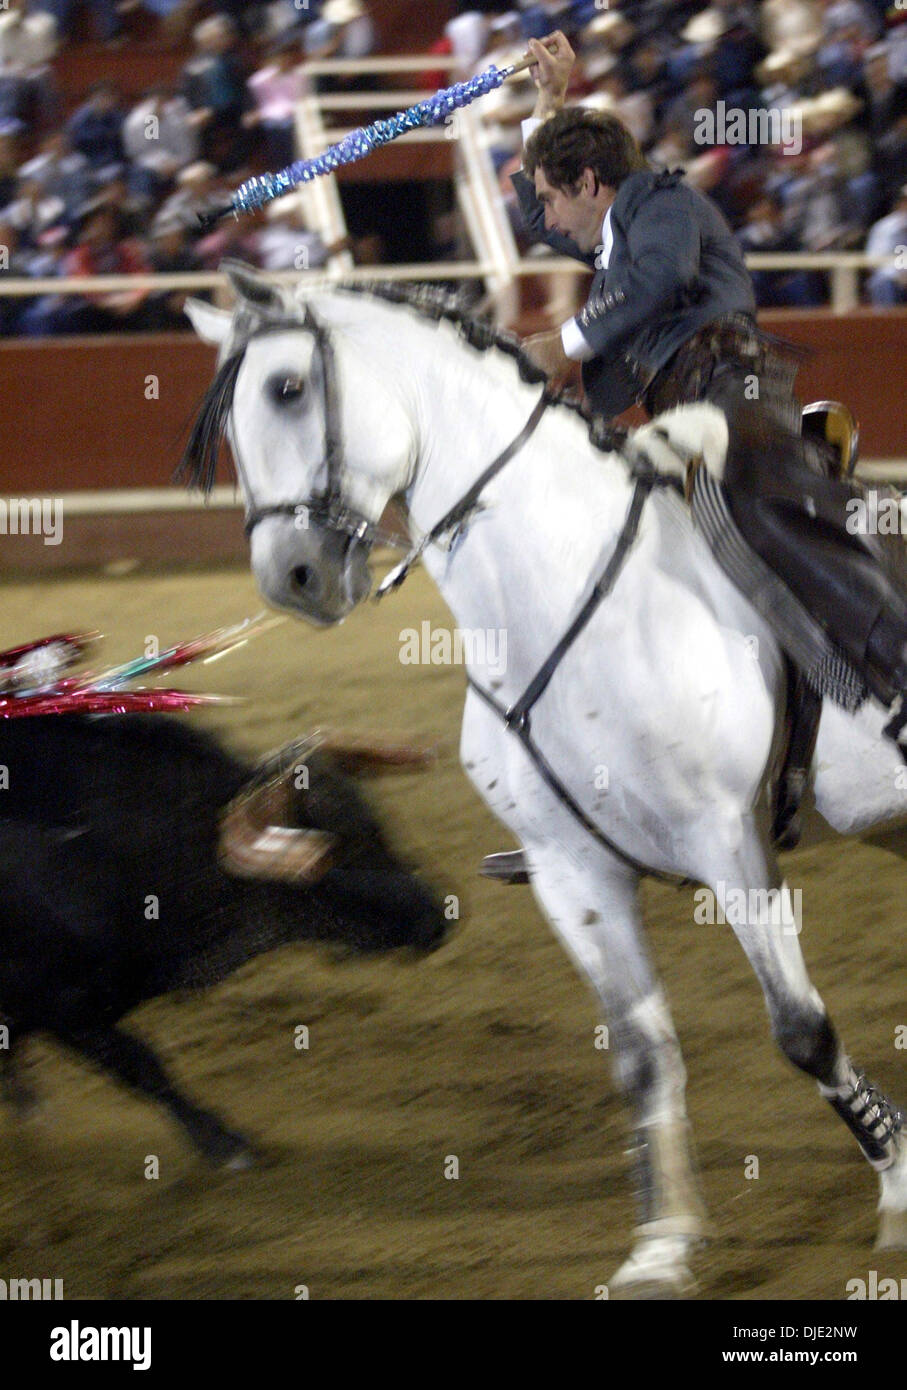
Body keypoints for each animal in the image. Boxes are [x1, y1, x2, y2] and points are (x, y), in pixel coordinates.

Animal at [0, 717, 447, 1162]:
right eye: (329, 864)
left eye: (376, 827)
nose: (437, 916)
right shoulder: (61, 1007)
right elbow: (141, 1064)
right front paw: (223, 1143)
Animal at [183, 265, 905, 1295]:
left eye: (285, 388)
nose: (292, 576)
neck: (561, 590)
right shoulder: (573, 874)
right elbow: (642, 1056)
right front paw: (660, 1246)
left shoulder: (726, 844)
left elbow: (800, 1029)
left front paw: (894, 1189)